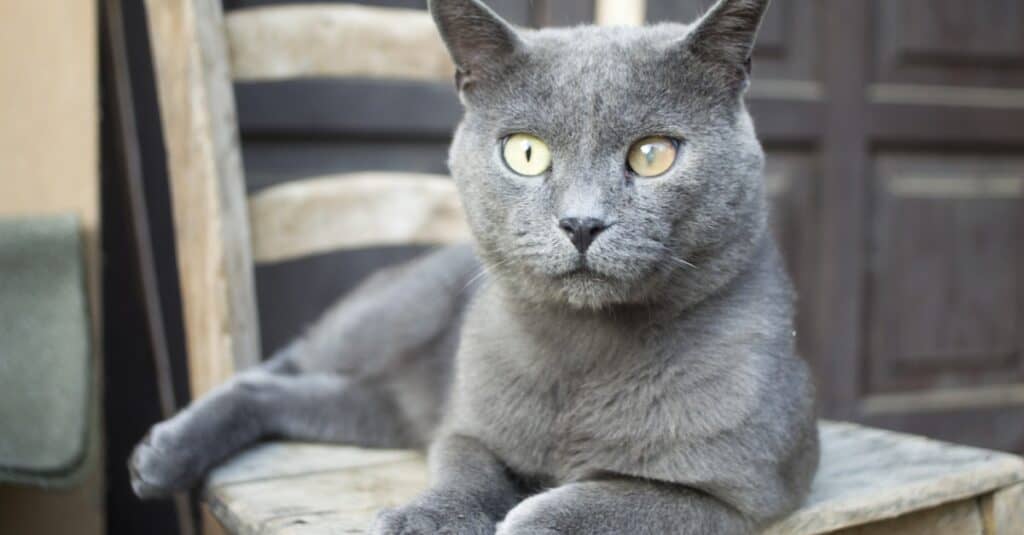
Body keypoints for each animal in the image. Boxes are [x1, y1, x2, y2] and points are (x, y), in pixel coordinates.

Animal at [130, 0, 815, 528]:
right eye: (527, 153)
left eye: (653, 155)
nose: (581, 223)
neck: (585, 355)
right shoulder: (466, 426)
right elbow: (465, 467)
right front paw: (423, 520)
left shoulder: (735, 495)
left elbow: (595, 504)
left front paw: (535, 516)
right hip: (389, 323)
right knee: (285, 359)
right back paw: (160, 453)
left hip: (383, 407)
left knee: (288, 390)